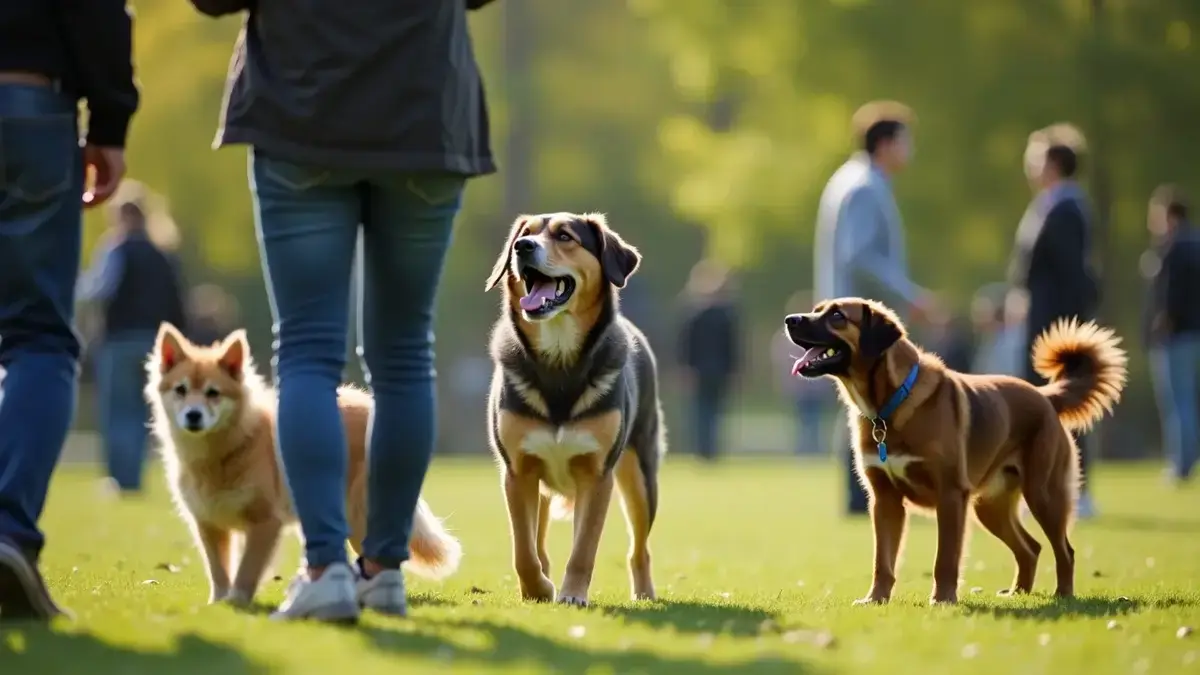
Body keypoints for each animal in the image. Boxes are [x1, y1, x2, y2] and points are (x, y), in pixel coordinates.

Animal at [140, 321, 458, 605]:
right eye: (180, 390)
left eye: (213, 393)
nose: (193, 416)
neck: (225, 449)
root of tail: (371, 407)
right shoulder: (208, 524)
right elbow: (218, 572)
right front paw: (218, 603)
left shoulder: (266, 522)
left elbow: (247, 569)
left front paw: (238, 603)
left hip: (359, 518)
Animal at [482, 210, 667, 605]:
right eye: (524, 234)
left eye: (565, 236)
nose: (522, 247)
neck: (559, 361)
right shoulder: (518, 472)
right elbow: (524, 550)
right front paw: (538, 589)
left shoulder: (597, 475)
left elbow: (584, 548)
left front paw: (571, 594)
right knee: (538, 542)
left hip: (641, 477)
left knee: (639, 549)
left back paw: (644, 593)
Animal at [782, 296, 1128, 600]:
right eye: (817, 309)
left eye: (837, 316)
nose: (790, 320)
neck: (889, 405)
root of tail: (1044, 397)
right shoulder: (885, 501)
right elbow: (883, 562)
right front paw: (876, 599)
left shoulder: (950, 496)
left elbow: (945, 559)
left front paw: (943, 600)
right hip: (989, 507)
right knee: (1031, 548)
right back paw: (1018, 592)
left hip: (1043, 495)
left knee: (1064, 550)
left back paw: (1063, 595)